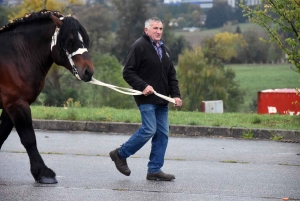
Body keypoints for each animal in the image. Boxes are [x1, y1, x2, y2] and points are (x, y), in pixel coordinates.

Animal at [0, 9, 95, 184]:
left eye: (85, 40)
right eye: (70, 40)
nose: (88, 71)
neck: (15, 56)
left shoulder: (10, 106)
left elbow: (2, 134)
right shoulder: (17, 104)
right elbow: (29, 138)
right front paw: (43, 173)